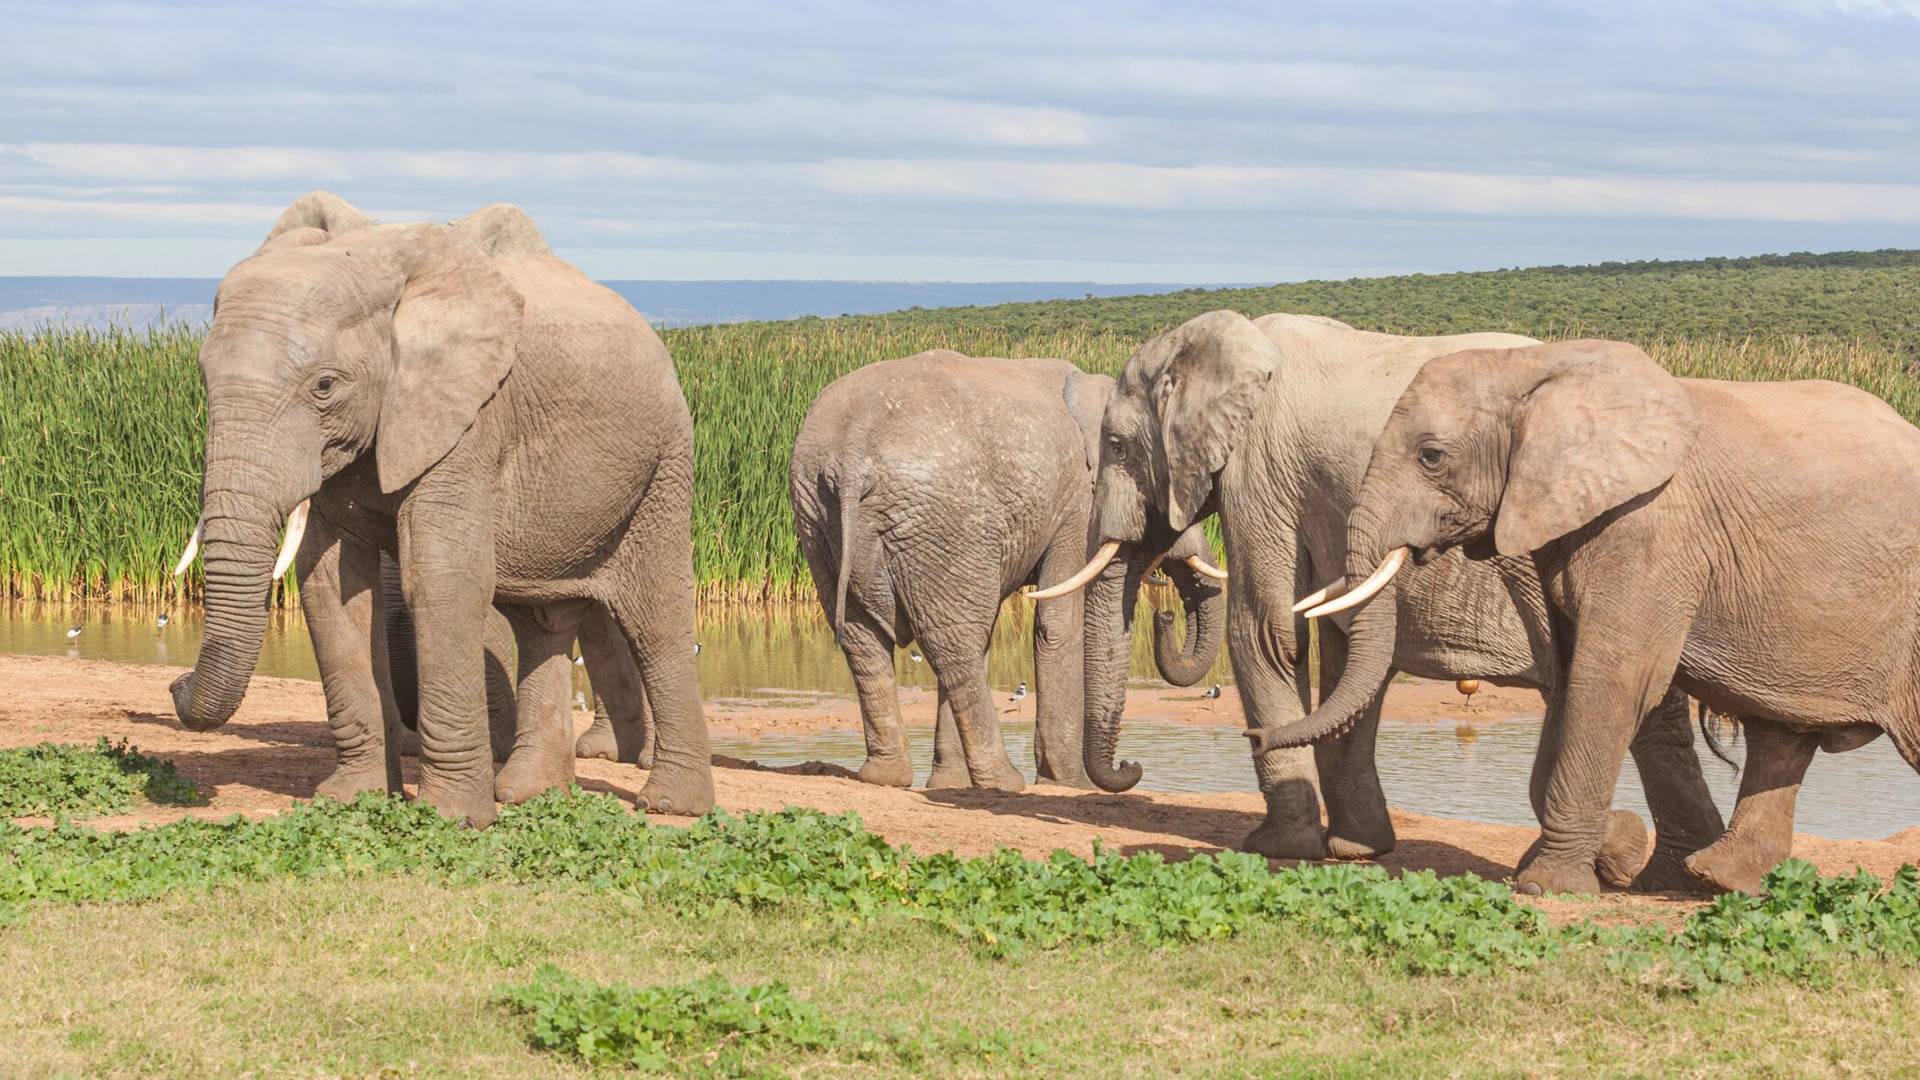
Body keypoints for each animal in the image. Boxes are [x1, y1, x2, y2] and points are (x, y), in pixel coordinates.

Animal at [168, 191, 708, 826]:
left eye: (324, 386)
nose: (175, 685)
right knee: (542, 622)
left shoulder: (470, 417)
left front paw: (450, 819)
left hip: (664, 465)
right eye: (204, 378)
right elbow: (328, 587)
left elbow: (442, 579)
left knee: (657, 619)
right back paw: (528, 793)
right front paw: (352, 799)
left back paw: (670, 803)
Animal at [789, 350, 1223, 790]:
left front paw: (951, 785)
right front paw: (1070, 786)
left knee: (868, 639)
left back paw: (888, 777)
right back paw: (1003, 781)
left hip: (819, 517)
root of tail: (852, 451)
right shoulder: (1079, 505)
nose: (1164, 616)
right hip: (944, 518)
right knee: (955, 643)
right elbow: (1060, 622)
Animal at [1042, 311, 1724, 891]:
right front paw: (1356, 850)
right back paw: (1663, 863)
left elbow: (1266, 633)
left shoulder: (1259, 473)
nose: (1131, 768)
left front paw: (1275, 847)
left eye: (1117, 446)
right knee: (1648, 706)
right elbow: (1341, 656)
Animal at [1257, 337, 1920, 894]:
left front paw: (1544, 887)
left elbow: (1612, 678)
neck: (1538, 370)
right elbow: (1570, 668)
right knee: (1781, 735)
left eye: (1431, 456)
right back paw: (1720, 880)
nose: (1252, 735)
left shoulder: (1649, 528)